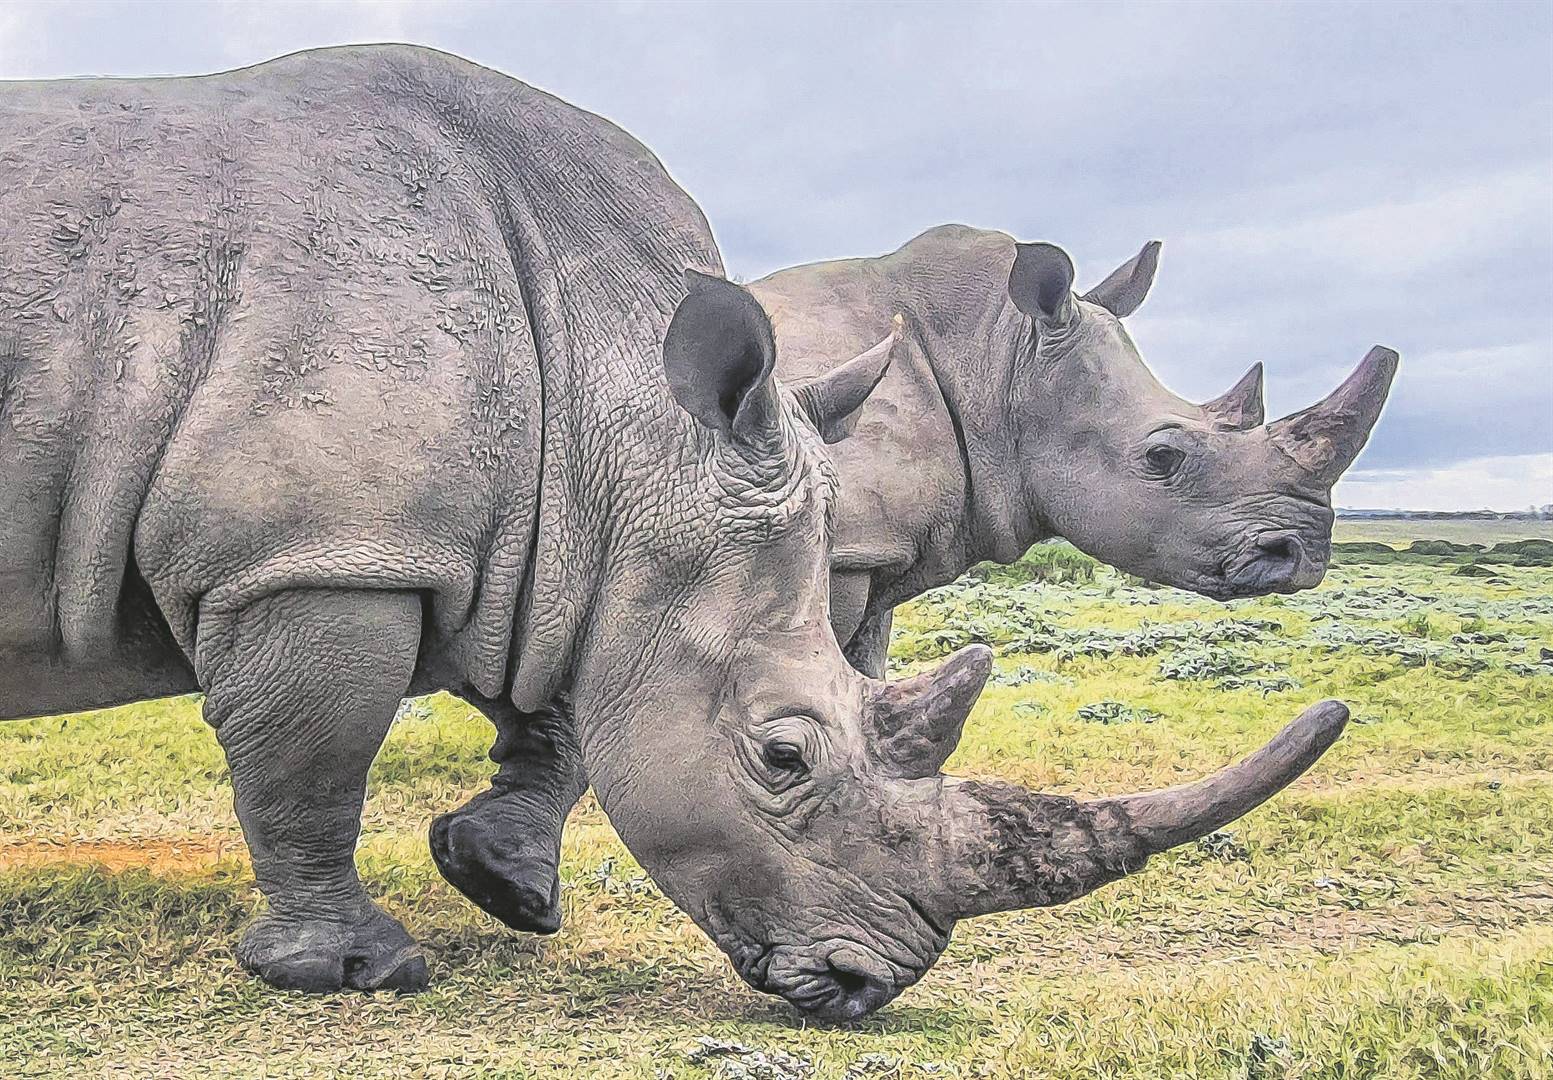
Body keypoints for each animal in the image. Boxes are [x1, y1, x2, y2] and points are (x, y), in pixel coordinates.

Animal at [432, 226, 1398, 940]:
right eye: (1164, 457)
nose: (1299, 555)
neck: (997, 362)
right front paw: (503, 883)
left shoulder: (865, 555)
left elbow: (855, 677)